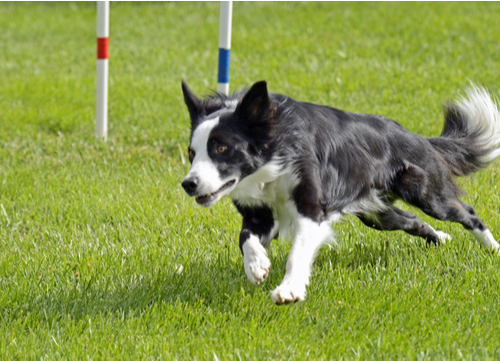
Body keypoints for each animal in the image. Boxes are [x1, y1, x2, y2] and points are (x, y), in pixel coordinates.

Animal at [181, 80, 500, 302]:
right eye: (191, 153)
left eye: (222, 148)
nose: (188, 184)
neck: (273, 149)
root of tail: (419, 138)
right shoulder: (261, 214)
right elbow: (244, 237)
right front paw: (257, 265)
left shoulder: (311, 208)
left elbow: (298, 251)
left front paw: (289, 290)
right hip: (377, 215)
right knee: (413, 221)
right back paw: (441, 238)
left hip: (427, 193)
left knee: (467, 213)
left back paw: (492, 248)